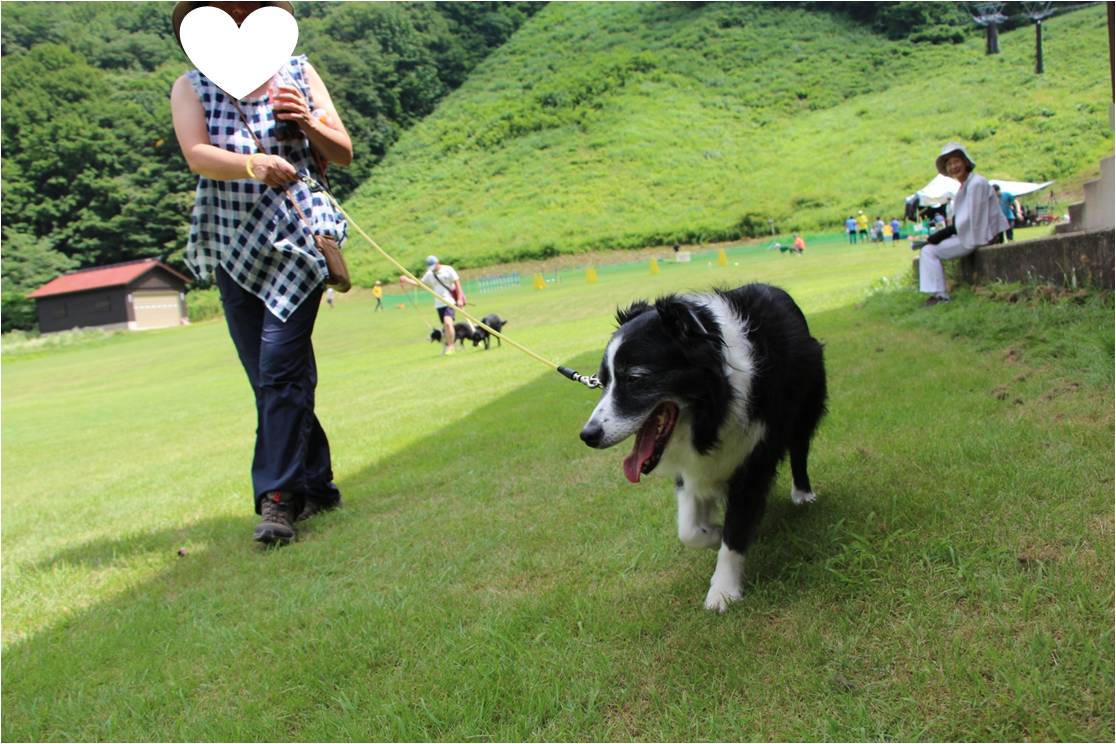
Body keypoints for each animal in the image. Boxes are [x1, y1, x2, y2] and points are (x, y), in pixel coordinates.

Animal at [580, 282, 825, 615]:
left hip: (806, 402)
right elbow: (688, 529)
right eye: (604, 381)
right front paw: (713, 531)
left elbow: (737, 526)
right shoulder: (692, 466)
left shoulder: (754, 454)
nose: (588, 435)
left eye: (635, 378)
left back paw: (802, 494)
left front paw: (723, 590)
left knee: (800, 446)